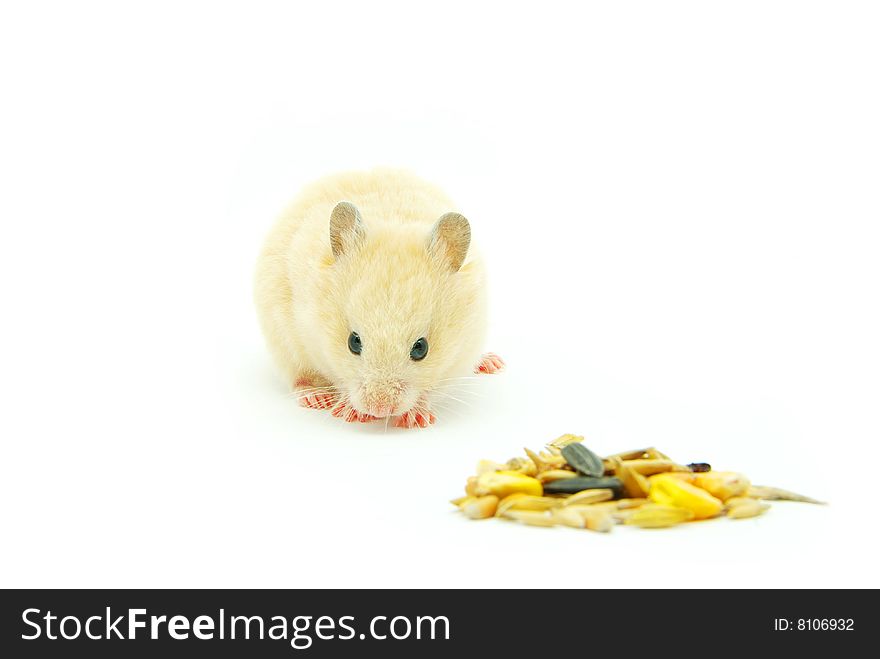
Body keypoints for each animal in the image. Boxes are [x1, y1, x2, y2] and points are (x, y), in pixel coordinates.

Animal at [254, 168, 502, 430]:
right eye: (353, 342)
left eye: (421, 348)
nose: (379, 410)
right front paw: (351, 413)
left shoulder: (463, 347)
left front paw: (414, 419)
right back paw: (316, 397)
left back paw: (492, 363)